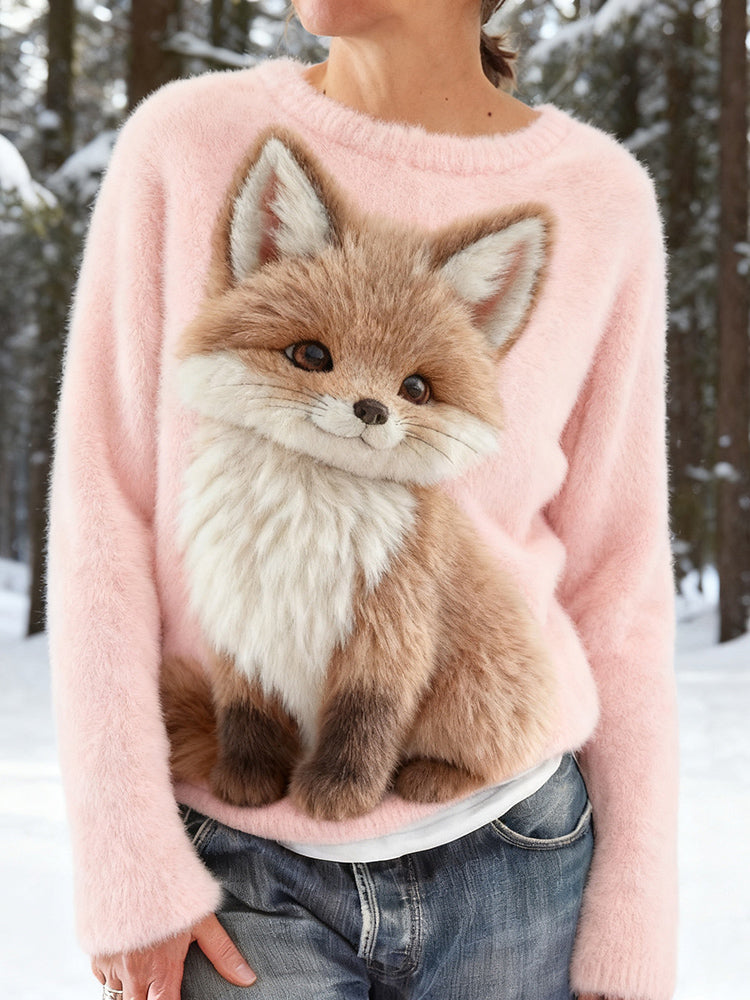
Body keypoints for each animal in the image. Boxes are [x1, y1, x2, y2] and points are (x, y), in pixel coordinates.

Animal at [160, 129, 557, 823]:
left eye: (415, 389)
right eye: (311, 355)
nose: (371, 409)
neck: (301, 516)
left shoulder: (391, 629)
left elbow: (363, 723)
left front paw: (339, 794)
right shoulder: (239, 624)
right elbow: (245, 717)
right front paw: (247, 782)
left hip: (474, 693)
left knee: (488, 758)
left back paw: (431, 777)